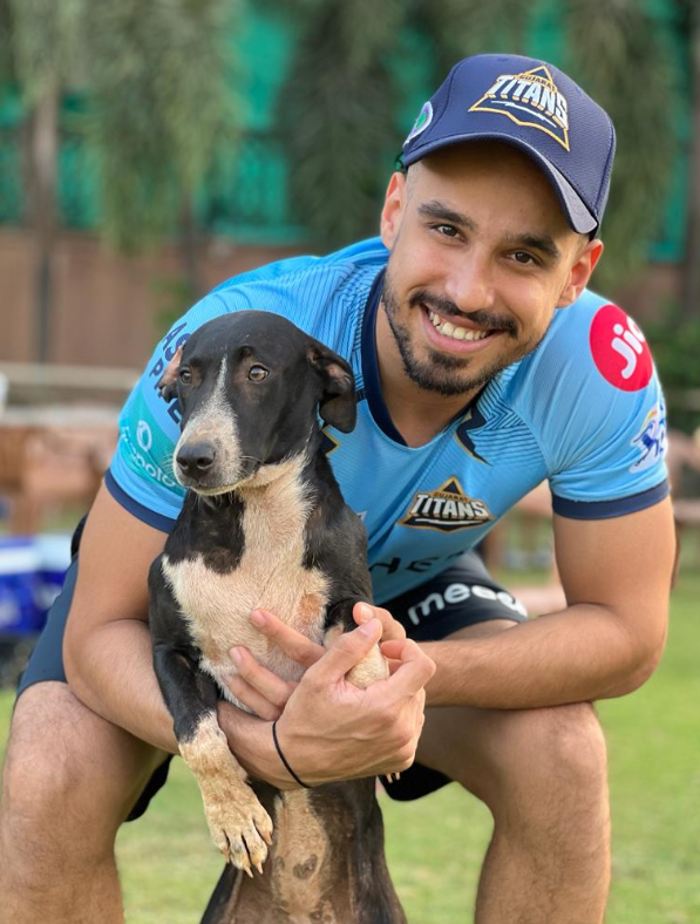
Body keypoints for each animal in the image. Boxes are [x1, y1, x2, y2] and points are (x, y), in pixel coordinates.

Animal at [150, 312, 408, 924]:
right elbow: (198, 734)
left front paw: (378, 714)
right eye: (188, 376)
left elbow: (364, 647)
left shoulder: (350, 599)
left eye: (258, 372)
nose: (192, 459)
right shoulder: (167, 649)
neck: (255, 518)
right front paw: (234, 816)